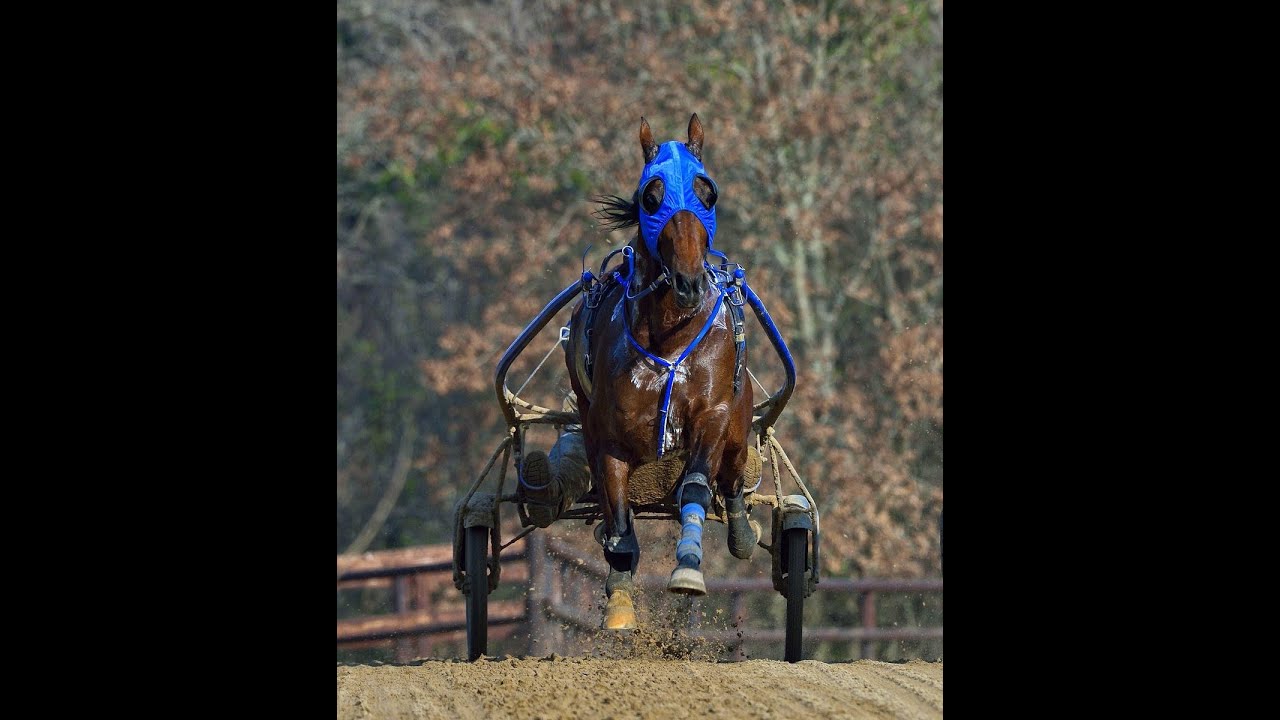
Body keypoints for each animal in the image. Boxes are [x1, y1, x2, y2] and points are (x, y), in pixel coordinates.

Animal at [560, 114, 758, 631]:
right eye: (652, 196)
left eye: (707, 193)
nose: (688, 283)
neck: (668, 336)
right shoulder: (608, 433)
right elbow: (618, 512)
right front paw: (620, 593)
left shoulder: (713, 414)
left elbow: (696, 485)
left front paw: (688, 566)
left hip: (739, 423)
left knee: (732, 480)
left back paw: (742, 531)